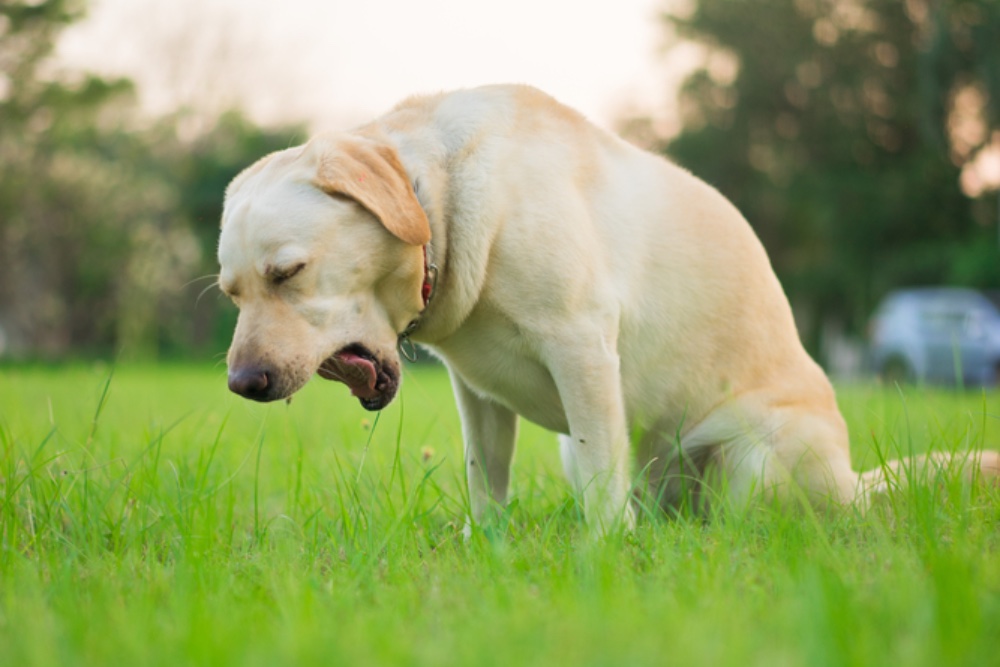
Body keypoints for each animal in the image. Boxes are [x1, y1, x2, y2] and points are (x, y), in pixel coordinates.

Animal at [221, 85, 1000, 532]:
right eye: (232, 291)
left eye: (288, 273)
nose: (244, 384)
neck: (439, 199)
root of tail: (853, 486)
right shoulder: (477, 393)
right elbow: (486, 477)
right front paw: (488, 546)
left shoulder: (582, 347)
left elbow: (602, 485)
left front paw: (601, 558)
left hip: (755, 460)